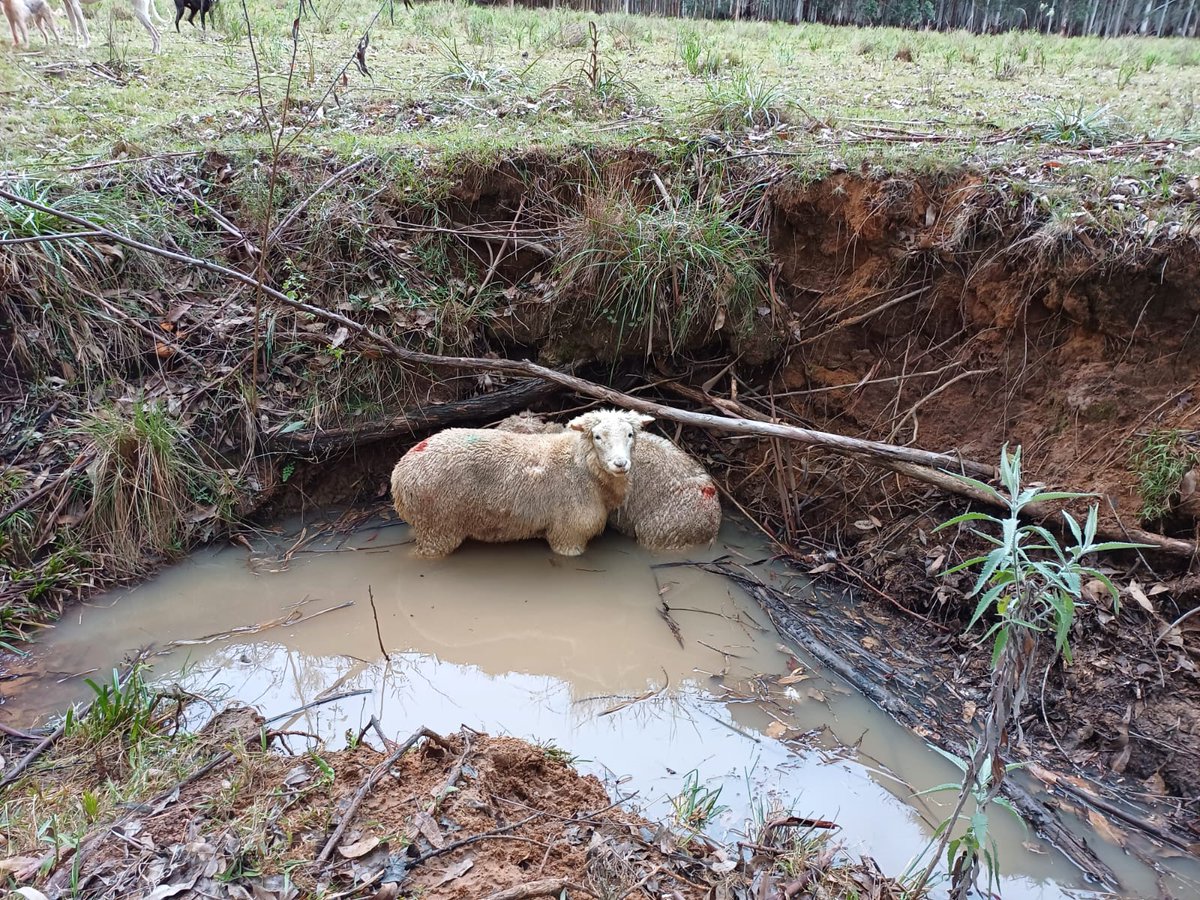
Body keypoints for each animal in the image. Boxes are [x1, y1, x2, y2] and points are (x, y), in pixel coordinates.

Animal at [391, 408, 653, 559]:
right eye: (597, 437)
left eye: (630, 434)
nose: (620, 464)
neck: (581, 466)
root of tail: (398, 474)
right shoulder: (569, 534)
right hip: (437, 525)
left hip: (425, 523)